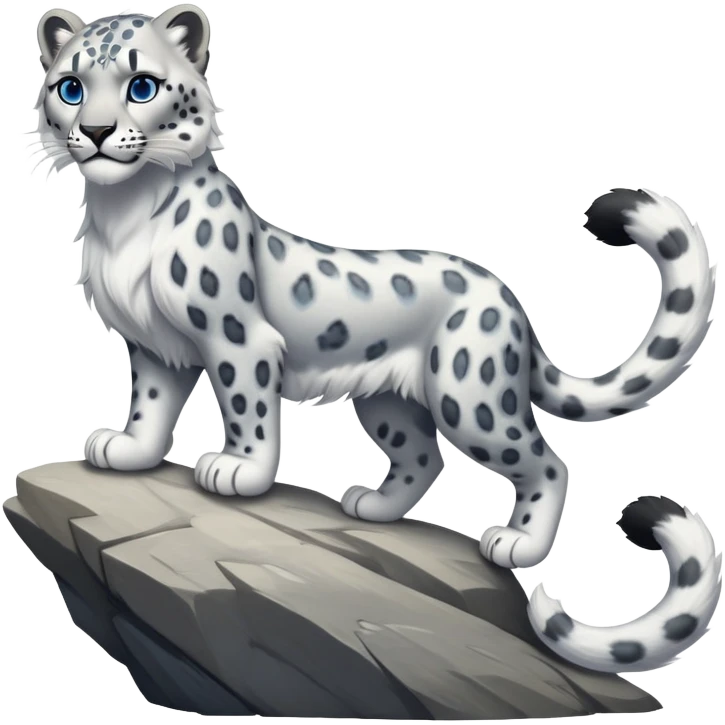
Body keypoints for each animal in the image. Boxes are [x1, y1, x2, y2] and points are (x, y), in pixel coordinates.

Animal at [30, 4, 721, 675]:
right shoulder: (153, 346)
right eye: (70, 86)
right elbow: (150, 403)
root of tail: (510, 303)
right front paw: (127, 449)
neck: (124, 218)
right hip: (387, 402)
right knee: (423, 457)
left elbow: (246, 407)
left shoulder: (235, 337)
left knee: (548, 462)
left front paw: (236, 470)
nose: (95, 131)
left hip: (470, 397)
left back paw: (515, 541)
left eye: (141, 85)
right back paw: (373, 507)